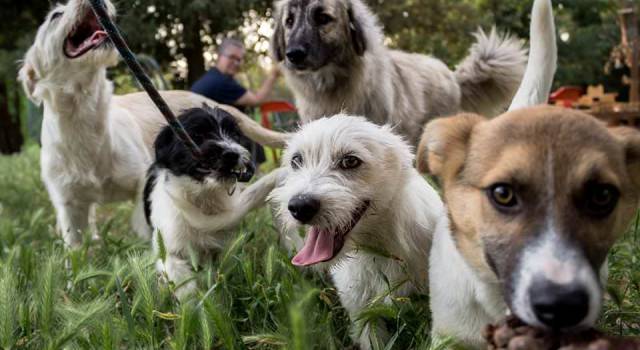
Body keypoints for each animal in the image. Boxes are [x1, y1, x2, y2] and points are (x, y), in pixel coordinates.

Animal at [145, 106, 284, 298]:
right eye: (198, 135)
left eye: (234, 135)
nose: (232, 153)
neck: (203, 197)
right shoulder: (168, 243)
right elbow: (176, 268)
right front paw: (190, 299)